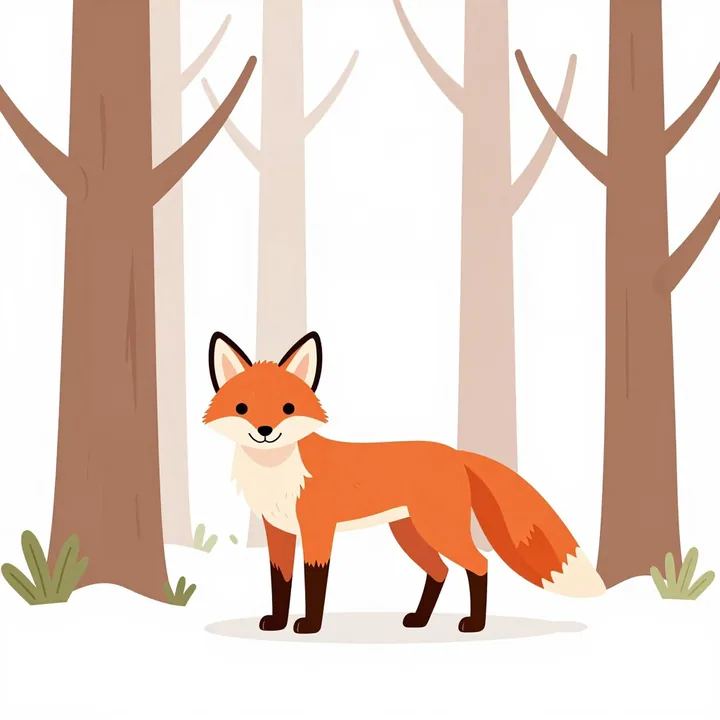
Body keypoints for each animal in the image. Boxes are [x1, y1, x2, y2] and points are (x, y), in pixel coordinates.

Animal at [203, 330, 605, 634]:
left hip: (438, 530)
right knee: (441, 571)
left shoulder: (318, 529)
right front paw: (277, 623)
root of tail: (456, 453)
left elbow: (314, 584)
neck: (277, 473)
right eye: (242, 408)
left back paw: (474, 624)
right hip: (410, 533)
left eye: (288, 408)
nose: (265, 431)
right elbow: (280, 583)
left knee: (478, 565)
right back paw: (419, 620)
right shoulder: (278, 531)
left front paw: (310, 626)